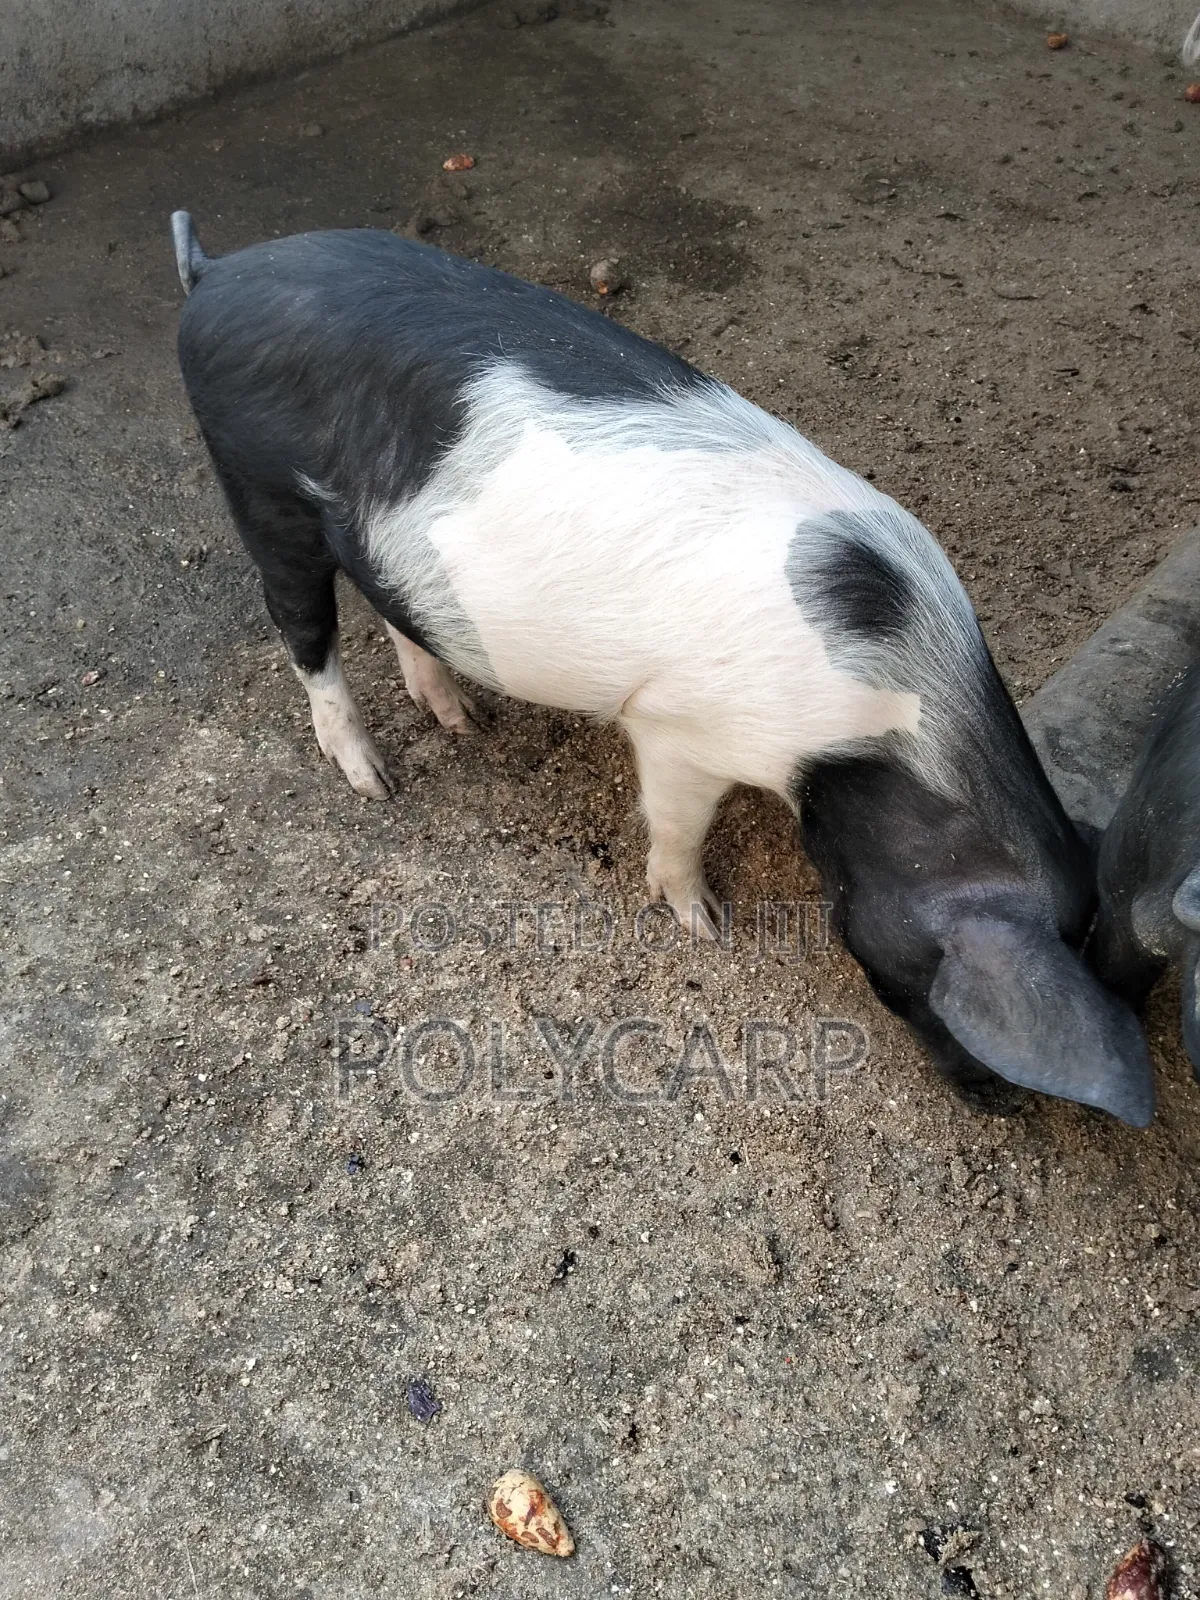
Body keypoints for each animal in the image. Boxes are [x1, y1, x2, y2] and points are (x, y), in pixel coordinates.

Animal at [170, 212, 1155, 1125]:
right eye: (920, 981)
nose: (1003, 1105)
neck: (885, 728)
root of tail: (215, 274)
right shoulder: (681, 728)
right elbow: (679, 826)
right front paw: (706, 926)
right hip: (261, 494)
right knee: (306, 635)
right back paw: (376, 782)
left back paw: (461, 719)